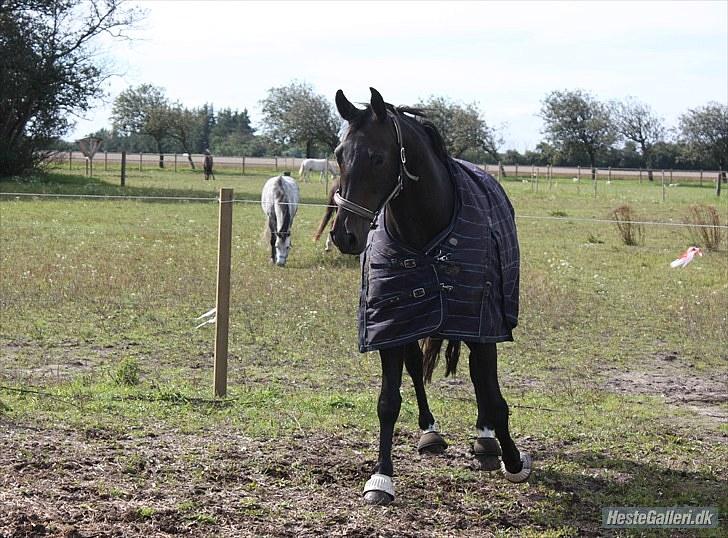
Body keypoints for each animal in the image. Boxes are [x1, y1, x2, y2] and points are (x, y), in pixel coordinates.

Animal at [330, 87, 528, 502]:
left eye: (377, 156)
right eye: (340, 154)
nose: (344, 235)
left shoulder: (483, 324)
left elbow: (492, 392)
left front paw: (513, 460)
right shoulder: (390, 324)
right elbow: (388, 401)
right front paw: (381, 477)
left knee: (477, 376)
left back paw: (486, 440)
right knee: (416, 368)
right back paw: (430, 431)